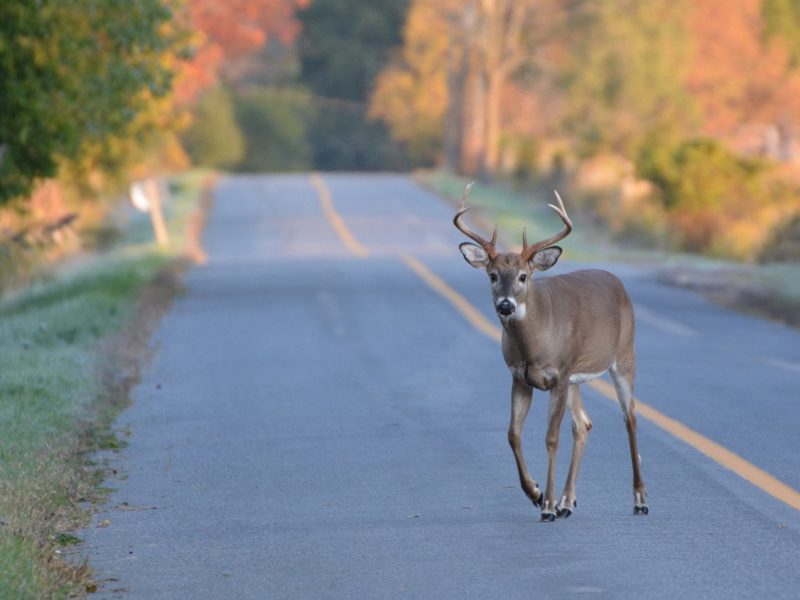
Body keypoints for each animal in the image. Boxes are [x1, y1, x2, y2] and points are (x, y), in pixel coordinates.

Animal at [454, 184, 648, 520]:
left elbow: (551, 438)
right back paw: (568, 502)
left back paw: (639, 500)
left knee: (630, 417)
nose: (506, 305)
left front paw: (546, 505)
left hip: (624, 357)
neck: (534, 344)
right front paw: (536, 493)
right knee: (583, 424)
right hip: (576, 379)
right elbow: (513, 434)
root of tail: (617, 282)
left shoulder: (558, 373)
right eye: (492, 275)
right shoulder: (521, 377)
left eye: (523, 276)